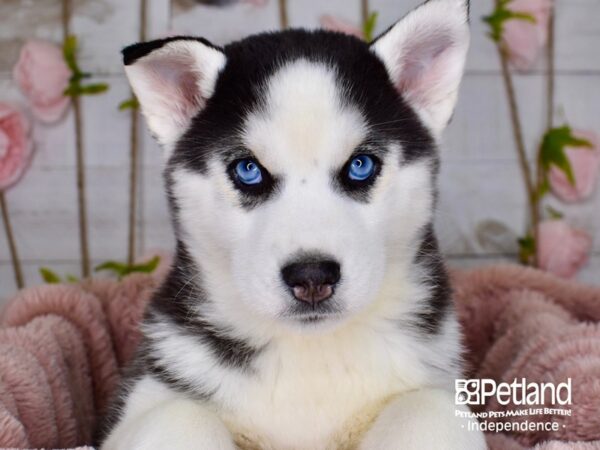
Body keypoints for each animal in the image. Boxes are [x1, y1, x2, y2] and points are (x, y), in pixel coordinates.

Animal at [101, 1, 488, 448]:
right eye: (248, 170)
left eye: (361, 165)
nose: (312, 277)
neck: (309, 354)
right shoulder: (150, 388)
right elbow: (181, 416)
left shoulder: (436, 383)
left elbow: (427, 408)